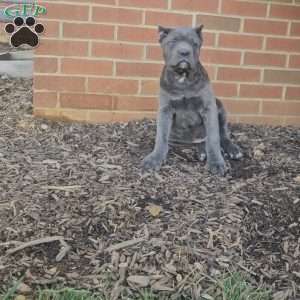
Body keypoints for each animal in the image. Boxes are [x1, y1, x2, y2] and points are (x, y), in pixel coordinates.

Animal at [142, 26, 243, 176]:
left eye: (194, 43)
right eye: (173, 41)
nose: (184, 51)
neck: (183, 77)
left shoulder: (209, 108)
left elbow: (213, 138)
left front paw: (216, 163)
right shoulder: (165, 109)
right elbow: (161, 137)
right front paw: (154, 159)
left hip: (219, 106)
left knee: (222, 134)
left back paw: (231, 149)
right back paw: (201, 152)